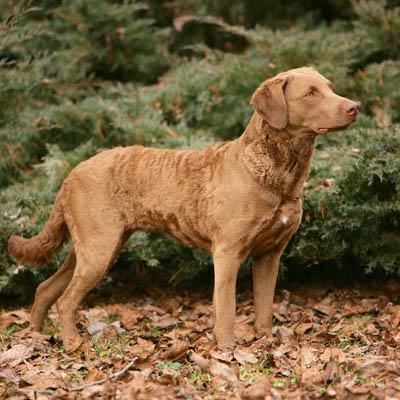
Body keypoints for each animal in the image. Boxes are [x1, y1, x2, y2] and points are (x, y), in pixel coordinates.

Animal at [8, 67, 360, 352]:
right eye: (310, 93)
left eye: (330, 87)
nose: (354, 106)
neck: (273, 173)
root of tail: (71, 173)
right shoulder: (227, 252)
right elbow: (227, 309)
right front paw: (228, 351)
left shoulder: (270, 254)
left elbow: (264, 307)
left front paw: (266, 343)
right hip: (99, 248)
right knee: (65, 299)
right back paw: (72, 344)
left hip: (93, 246)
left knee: (45, 289)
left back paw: (34, 338)